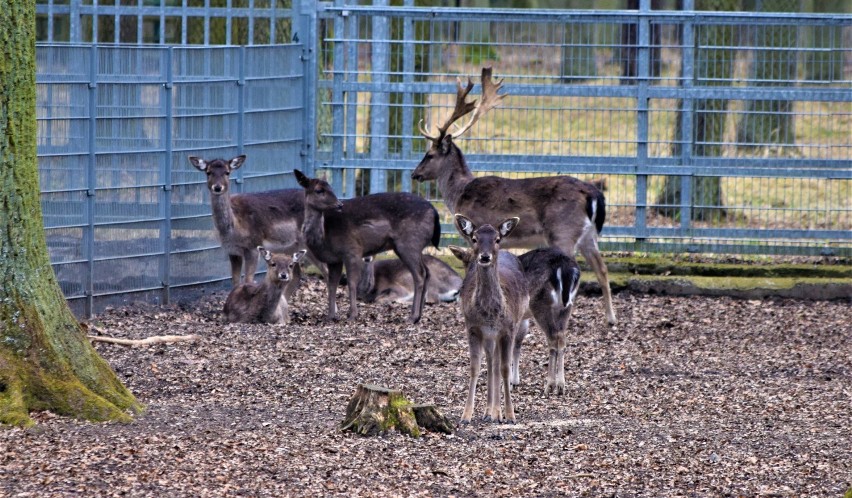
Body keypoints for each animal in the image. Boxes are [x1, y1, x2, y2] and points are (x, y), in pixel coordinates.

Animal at [187, 156, 322, 288]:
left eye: (227, 172)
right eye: (208, 172)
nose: (217, 187)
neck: (234, 229)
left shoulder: (253, 245)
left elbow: (248, 280)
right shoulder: (232, 251)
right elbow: (235, 282)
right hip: (292, 247)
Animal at [292, 169, 440, 324]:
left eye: (330, 188)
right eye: (319, 190)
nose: (339, 204)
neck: (324, 236)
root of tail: (435, 213)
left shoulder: (352, 249)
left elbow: (351, 283)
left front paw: (352, 315)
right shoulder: (334, 259)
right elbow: (332, 285)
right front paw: (330, 316)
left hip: (409, 243)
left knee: (419, 274)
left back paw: (412, 317)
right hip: (415, 246)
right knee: (427, 272)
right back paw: (419, 315)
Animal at [410, 68, 616, 328]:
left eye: (429, 154)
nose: (414, 174)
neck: (458, 194)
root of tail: (594, 194)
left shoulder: (473, 230)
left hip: (563, 232)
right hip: (588, 235)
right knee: (602, 268)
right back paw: (611, 318)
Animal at [446, 214, 524, 424]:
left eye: (497, 239)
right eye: (474, 238)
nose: (485, 256)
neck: (490, 313)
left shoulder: (508, 329)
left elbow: (505, 369)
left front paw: (510, 415)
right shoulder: (472, 327)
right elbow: (475, 367)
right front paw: (466, 415)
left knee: (497, 364)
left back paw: (496, 413)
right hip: (489, 336)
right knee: (491, 362)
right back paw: (490, 412)